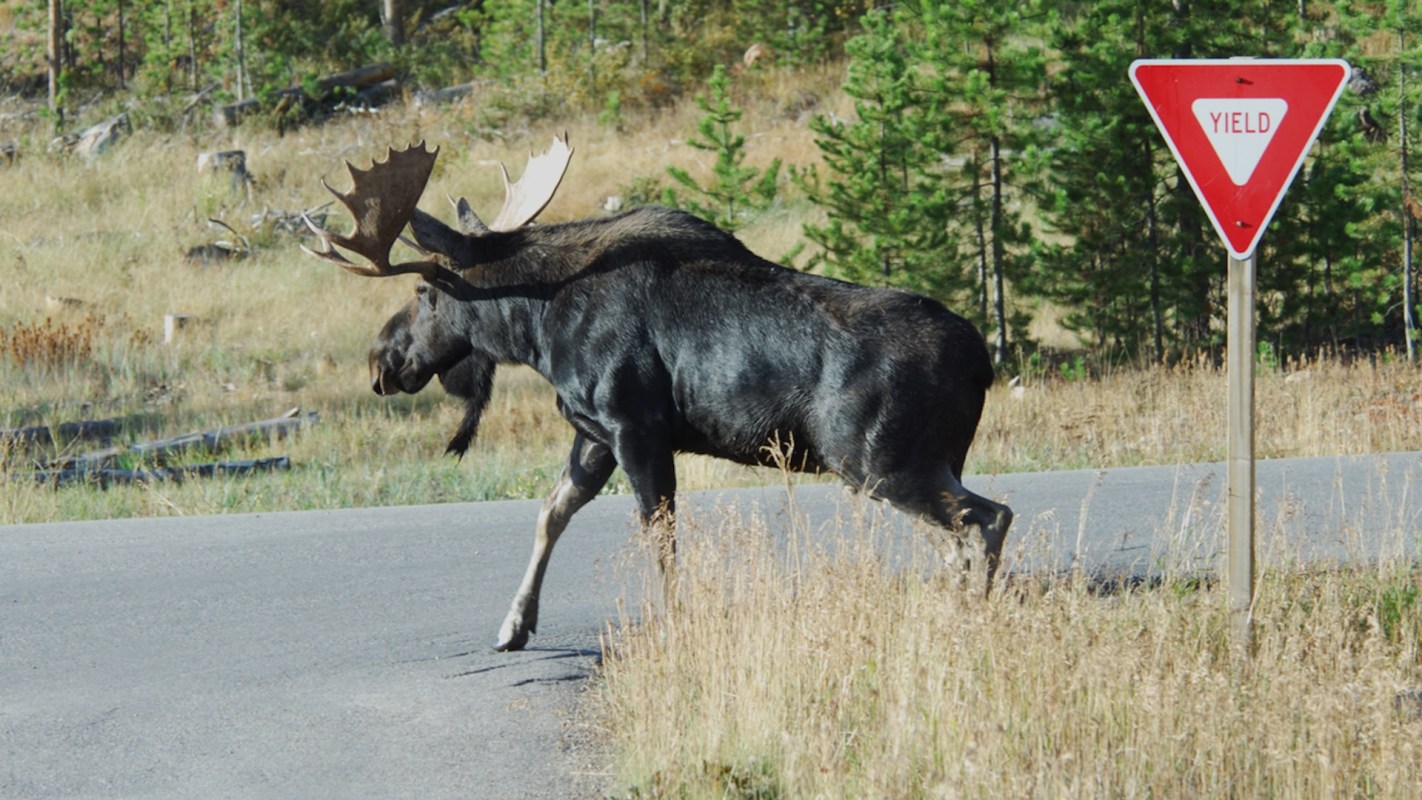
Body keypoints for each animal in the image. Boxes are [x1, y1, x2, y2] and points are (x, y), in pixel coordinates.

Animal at [302, 136, 1012, 650]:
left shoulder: (634, 425)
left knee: (987, 518)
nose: (382, 360)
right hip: (928, 460)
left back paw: (970, 619)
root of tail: (981, 360)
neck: (536, 327)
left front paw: (674, 623)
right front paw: (514, 625)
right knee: (959, 533)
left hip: (876, 459)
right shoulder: (594, 434)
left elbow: (660, 534)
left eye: (424, 292)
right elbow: (551, 513)